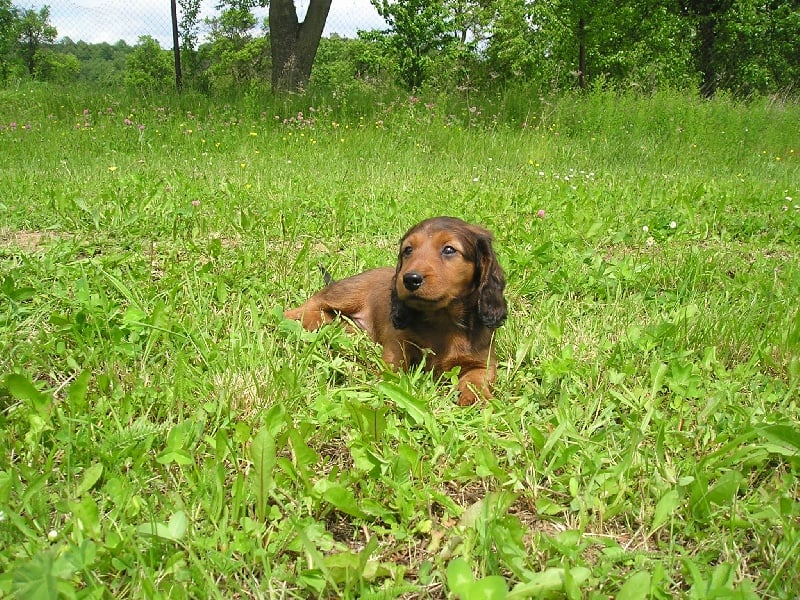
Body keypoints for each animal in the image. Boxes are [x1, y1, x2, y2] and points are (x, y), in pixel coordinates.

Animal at [286, 218, 506, 406]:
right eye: (408, 250)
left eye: (449, 249)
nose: (410, 279)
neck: (443, 319)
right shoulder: (398, 344)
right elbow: (392, 367)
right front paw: (387, 386)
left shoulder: (484, 362)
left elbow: (476, 379)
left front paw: (476, 399)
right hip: (346, 293)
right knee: (312, 302)